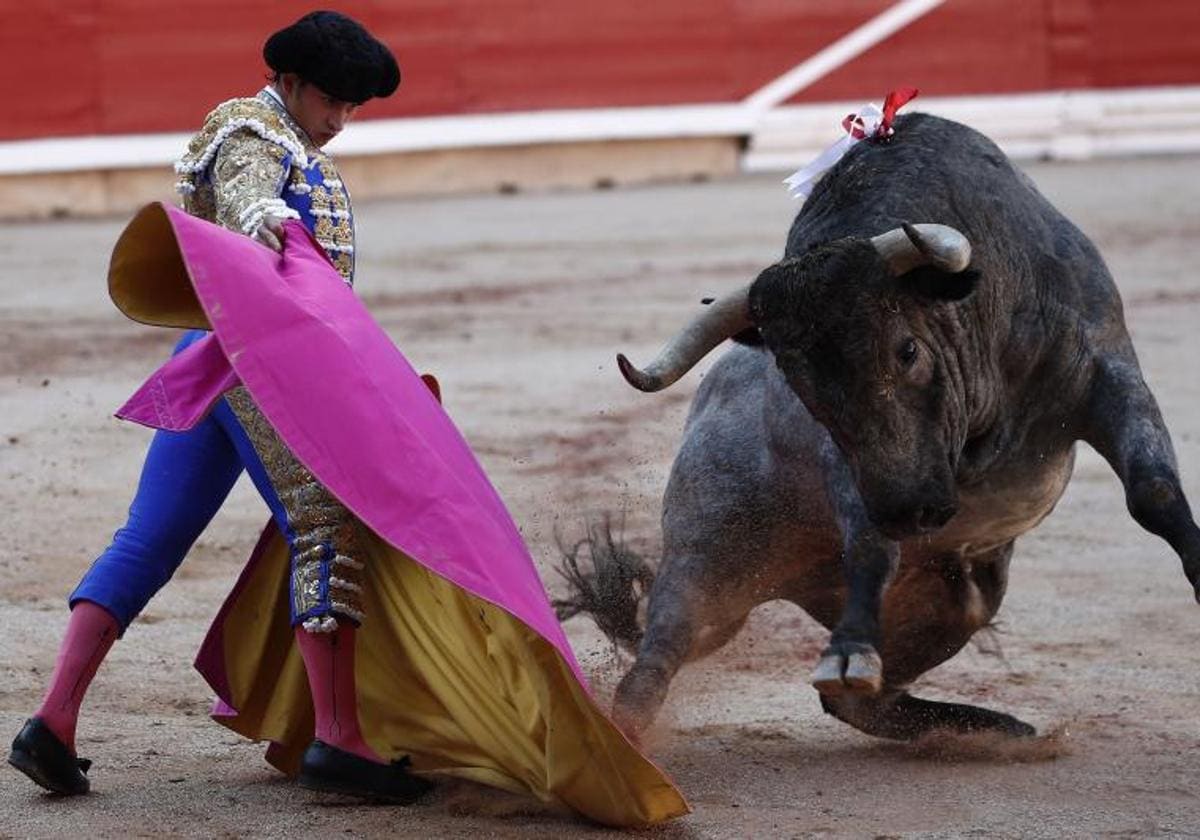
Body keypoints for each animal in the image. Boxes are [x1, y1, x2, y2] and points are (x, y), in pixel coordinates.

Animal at [559, 114, 1200, 739]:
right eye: (796, 381)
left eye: (908, 349)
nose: (909, 512)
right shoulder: (852, 468)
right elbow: (869, 544)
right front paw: (850, 650)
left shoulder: (1108, 369)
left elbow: (1153, 491)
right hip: (706, 569)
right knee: (655, 666)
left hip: (956, 605)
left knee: (862, 701)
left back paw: (987, 730)